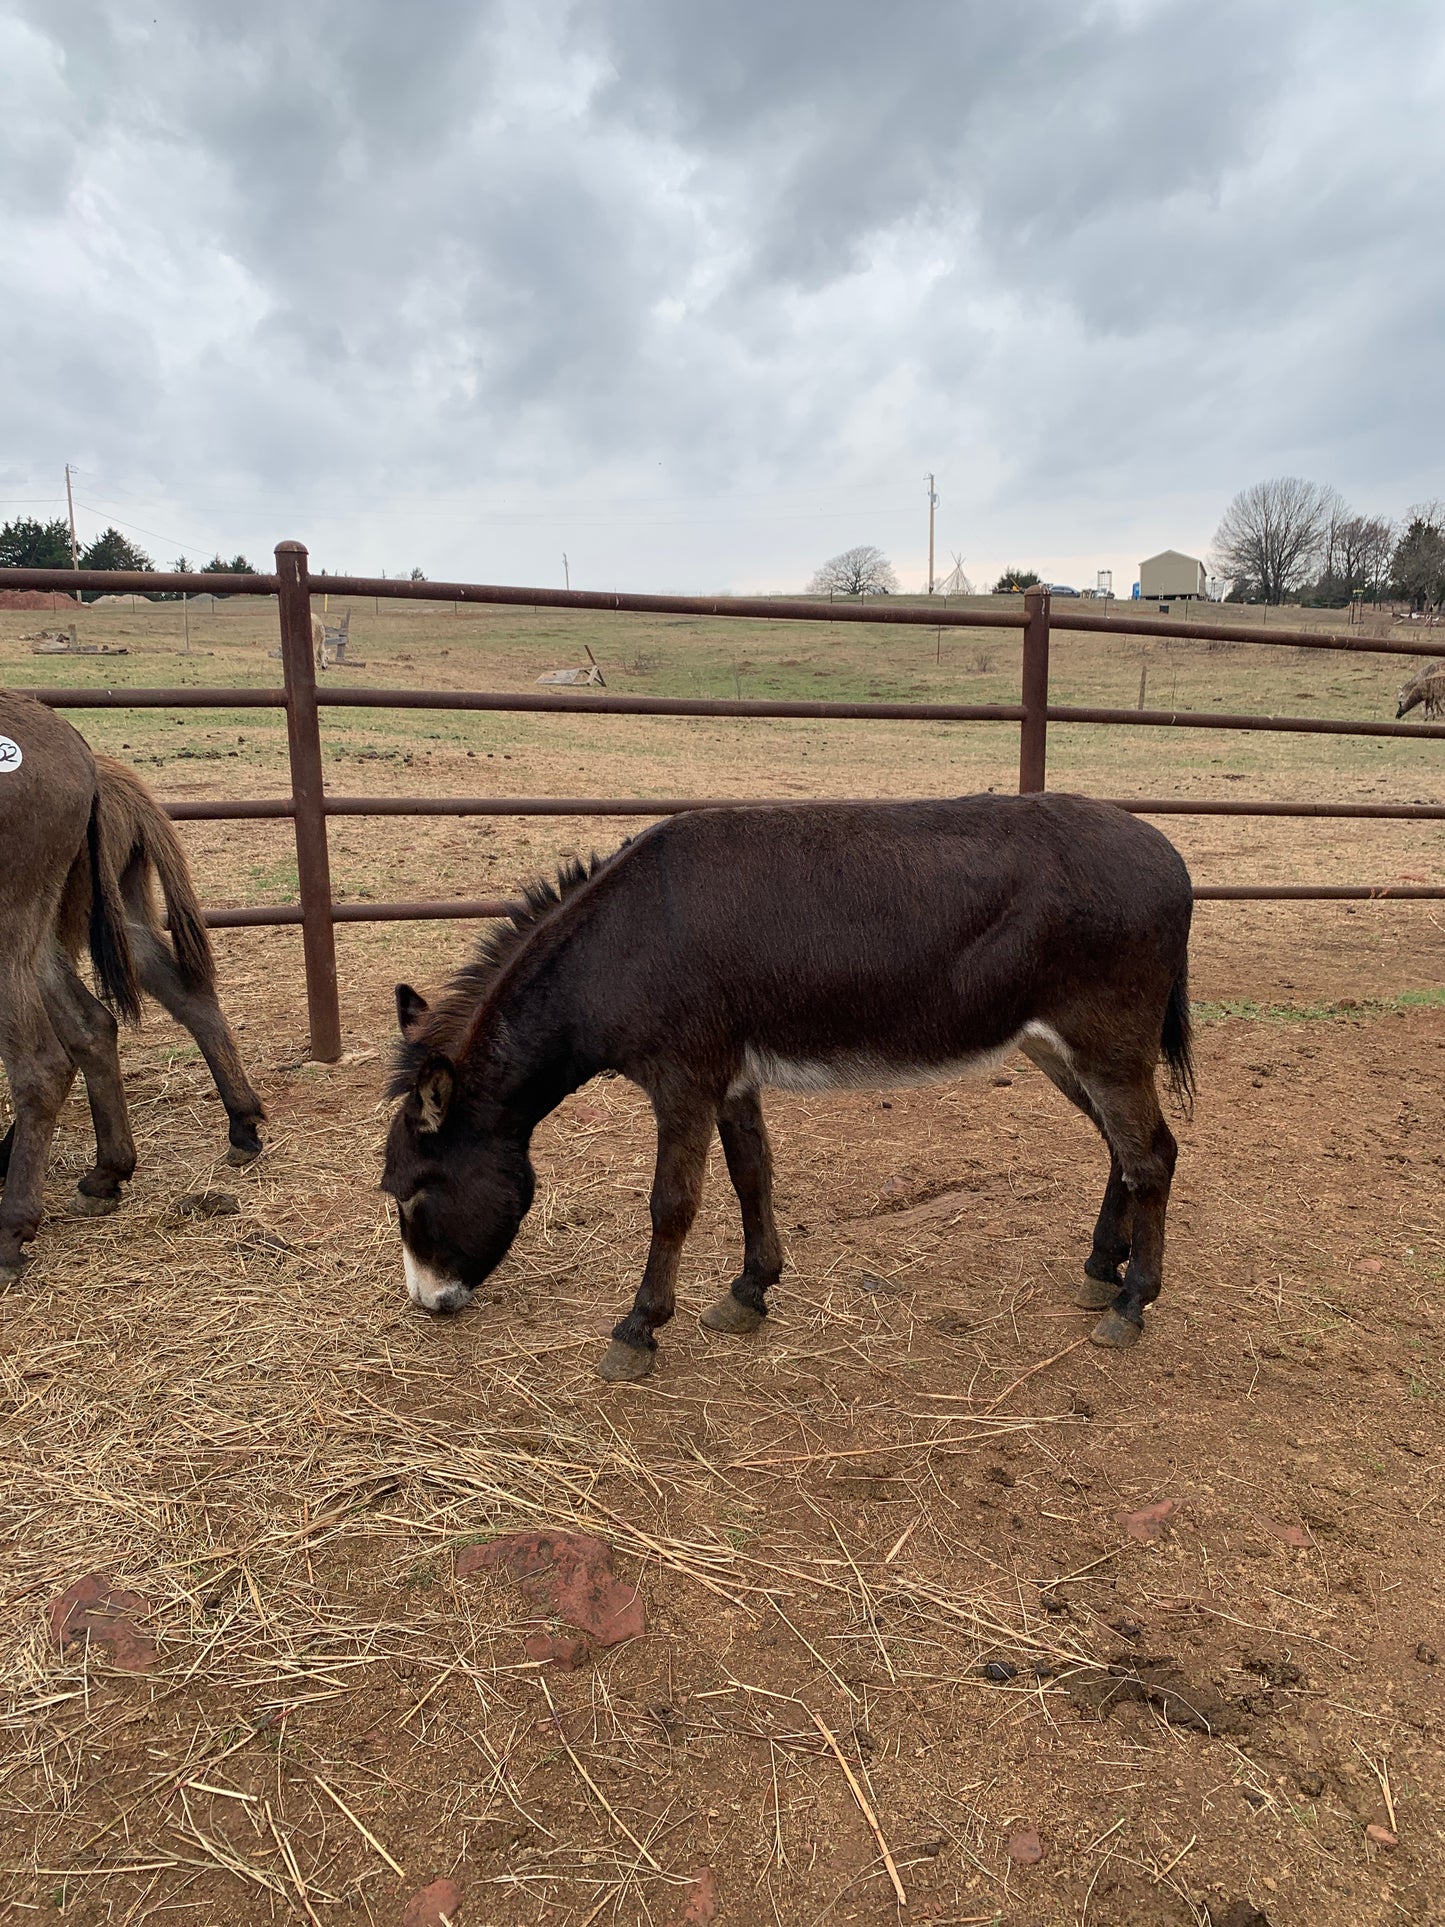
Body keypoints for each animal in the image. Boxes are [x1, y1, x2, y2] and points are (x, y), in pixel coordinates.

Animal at [382, 795, 1195, 1381]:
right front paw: (750, 1291)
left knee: (1153, 1156)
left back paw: (1130, 1303)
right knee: (1121, 1149)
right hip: (1056, 1048)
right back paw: (1101, 1268)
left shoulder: (683, 1080)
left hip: (1105, 1044)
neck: (620, 947)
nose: (428, 1305)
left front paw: (638, 1330)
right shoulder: (731, 1078)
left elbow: (672, 1205)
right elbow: (752, 1176)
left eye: (409, 1194)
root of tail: (1168, 853)